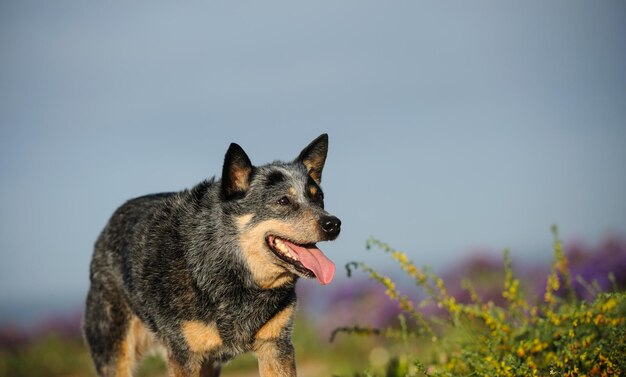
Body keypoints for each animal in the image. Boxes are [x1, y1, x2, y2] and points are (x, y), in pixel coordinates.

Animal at [83, 134, 342, 374]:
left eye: (318, 197)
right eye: (283, 201)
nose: (333, 224)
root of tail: (108, 226)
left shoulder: (276, 346)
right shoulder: (184, 356)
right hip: (114, 352)